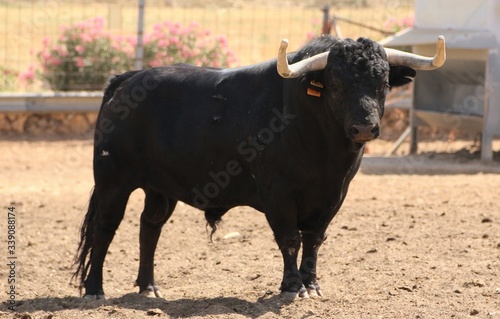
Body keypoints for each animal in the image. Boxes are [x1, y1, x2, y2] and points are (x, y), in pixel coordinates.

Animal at [73, 35, 442, 300]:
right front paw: (292, 286)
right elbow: (290, 240)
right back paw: (94, 290)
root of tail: (128, 77)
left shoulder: (333, 197)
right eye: (336, 84)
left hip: (160, 189)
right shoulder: (278, 195)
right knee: (105, 229)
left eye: (383, 84)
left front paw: (312, 284)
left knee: (149, 227)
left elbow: (314, 240)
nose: (365, 127)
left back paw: (149, 287)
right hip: (113, 182)